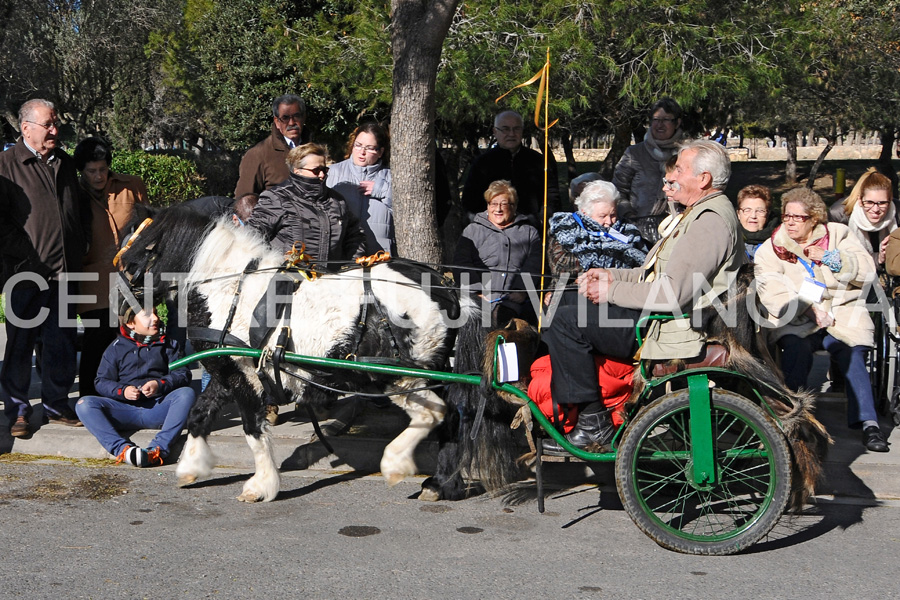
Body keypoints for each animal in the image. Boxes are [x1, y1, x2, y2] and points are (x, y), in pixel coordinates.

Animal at [118, 206, 520, 502]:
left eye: (139, 249)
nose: (125, 312)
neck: (230, 288)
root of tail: (447, 291)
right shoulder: (227, 370)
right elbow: (199, 416)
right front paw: (191, 468)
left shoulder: (242, 376)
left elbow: (251, 428)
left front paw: (261, 486)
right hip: (431, 370)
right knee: (453, 418)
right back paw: (440, 483)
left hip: (395, 375)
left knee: (433, 414)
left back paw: (396, 463)